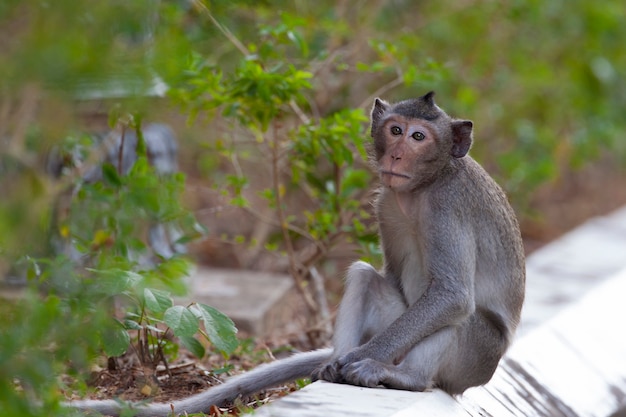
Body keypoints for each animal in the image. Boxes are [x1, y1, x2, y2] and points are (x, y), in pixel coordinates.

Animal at [68, 92, 520, 414]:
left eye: (418, 137)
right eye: (395, 130)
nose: (396, 154)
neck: (421, 189)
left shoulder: (447, 206)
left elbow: (451, 295)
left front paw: (362, 358)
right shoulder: (385, 204)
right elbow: (393, 278)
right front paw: (342, 360)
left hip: (474, 361)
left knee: (461, 316)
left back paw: (400, 376)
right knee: (364, 277)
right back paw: (333, 364)